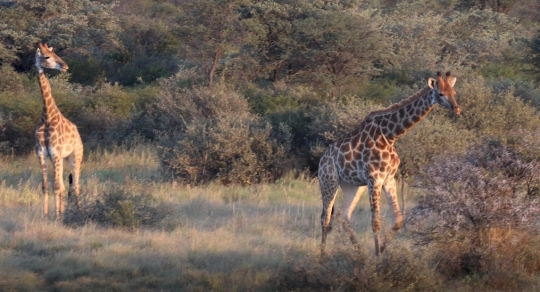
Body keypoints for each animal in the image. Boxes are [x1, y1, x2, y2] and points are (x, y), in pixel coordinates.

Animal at [34, 42, 82, 220]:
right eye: (47, 56)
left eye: (55, 54)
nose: (65, 66)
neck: (47, 116)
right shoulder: (42, 153)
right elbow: (46, 186)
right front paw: (46, 216)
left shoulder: (55, 152)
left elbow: (56, 187)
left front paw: (56, 217)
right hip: (63, 158)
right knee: (63, 185)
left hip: (76, 156)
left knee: (75, 185)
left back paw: (80, 212)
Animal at [318, 71, 462, 256]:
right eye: (441, 93)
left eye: (454, 92)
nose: (457, 109)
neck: (390, 136)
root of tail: (322, 160)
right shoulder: (375, 179)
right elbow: (375, 222)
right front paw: (377, 256)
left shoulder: (389, 178)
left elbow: (399, 219)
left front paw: (381, 250)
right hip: (328, 181)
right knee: (326, 218)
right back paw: (322, 256)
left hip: (353, 186)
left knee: (343, 216)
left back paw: (360, 254)